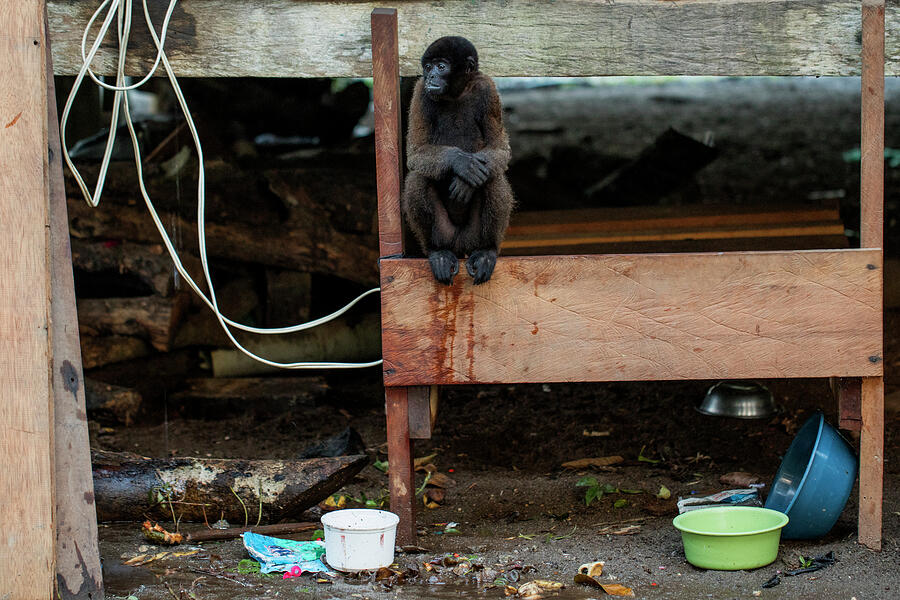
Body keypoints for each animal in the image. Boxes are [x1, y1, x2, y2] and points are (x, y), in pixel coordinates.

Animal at [402, 36, 514, 285]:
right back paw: (438, 253)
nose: (431, 77)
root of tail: (460, 244)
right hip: (445, 233)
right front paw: (462, 164)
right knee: (418, 178)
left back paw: (487, 251)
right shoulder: (421, 91)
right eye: (428, 67)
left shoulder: (487, 89)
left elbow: (499, 150)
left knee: (492, 177)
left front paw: (465, 181)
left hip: (473, 235)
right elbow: (415, 153)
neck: (457, 94)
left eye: (441, 66)